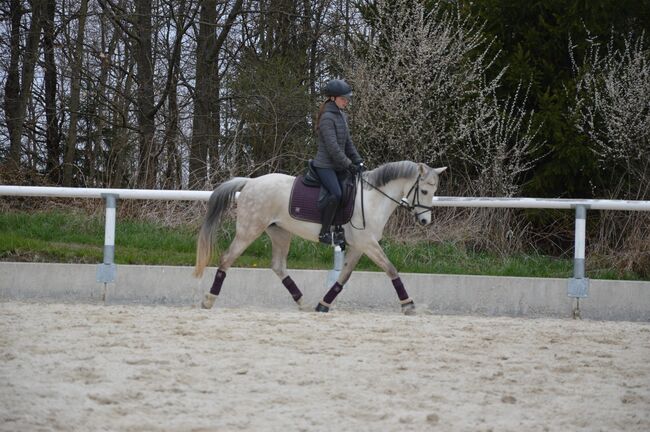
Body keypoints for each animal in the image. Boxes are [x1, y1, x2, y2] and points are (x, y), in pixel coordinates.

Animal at [192, 160, 446, 316]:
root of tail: (251, 182)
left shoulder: (358, 246)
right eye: (424, 191)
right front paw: (408, 305)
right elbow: (391, 270)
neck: (373, 199)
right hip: (249, 229)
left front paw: (323, 304)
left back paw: (302, 303)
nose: (425, 221)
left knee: (278, 266)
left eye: (434, 191)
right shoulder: (368, 243)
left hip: (280, 232)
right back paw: (208, 300)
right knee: (227, 259)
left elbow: (343, 276)